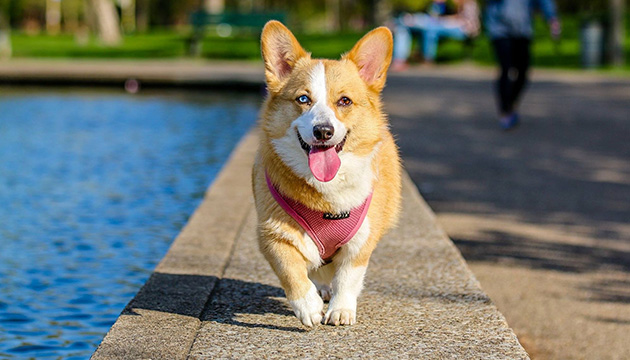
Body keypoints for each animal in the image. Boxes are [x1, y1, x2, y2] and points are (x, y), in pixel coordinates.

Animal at [251, 21, 400, 328]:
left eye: (344, 101)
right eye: (303, 99)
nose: (323, 131)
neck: (326, 193)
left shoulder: (361, 240)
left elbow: (348, 277)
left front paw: (341, 310)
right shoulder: (272, 234)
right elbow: (291, 271)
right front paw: (308, 306)